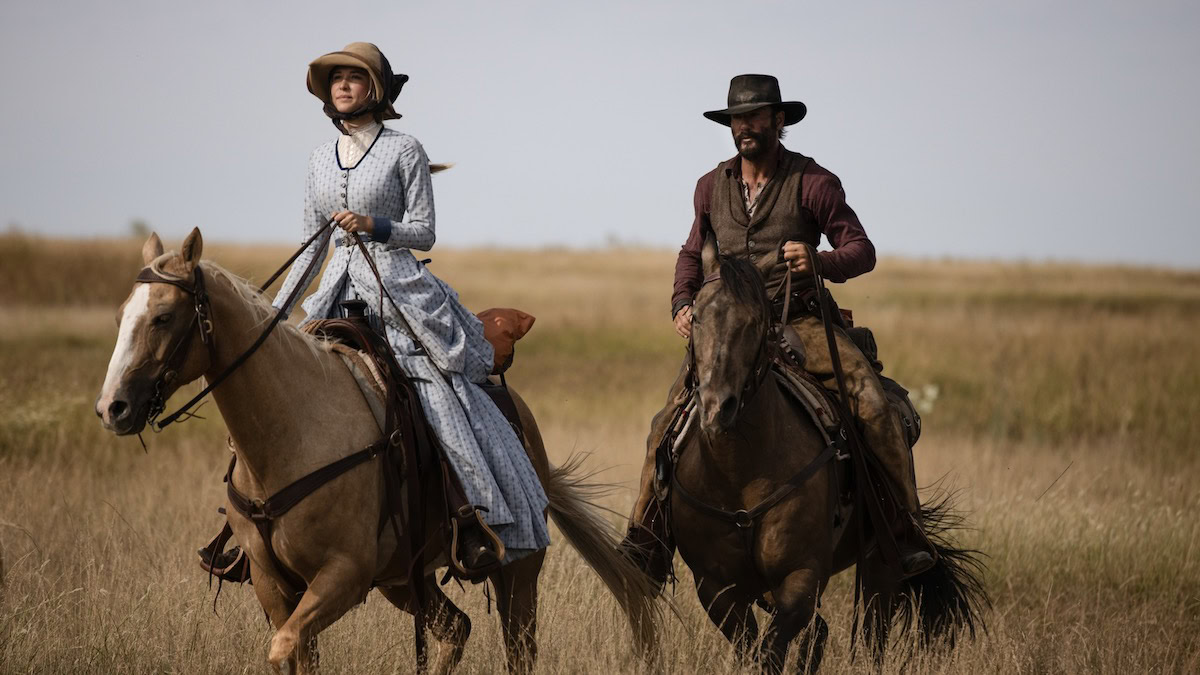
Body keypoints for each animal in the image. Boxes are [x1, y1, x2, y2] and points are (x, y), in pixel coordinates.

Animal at [93, 228, 657, 667]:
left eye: (164, 317)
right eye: (122, 315)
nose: (112, 407)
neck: (289, 435)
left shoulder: (344, 574)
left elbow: (283, 647)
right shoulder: (274, 584)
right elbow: (294, 653)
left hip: (518, 573)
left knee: (517, 648)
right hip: (405, 578)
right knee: (455, 629)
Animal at [667, 239, 984, 667]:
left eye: (754, 322)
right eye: (697, 317)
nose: (718, 408)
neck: (737, 473)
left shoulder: (801, 580)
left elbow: (771, 652)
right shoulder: (717, 589)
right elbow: (754, 650)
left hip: (882, 567)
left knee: (871, 636)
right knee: (821, 632)